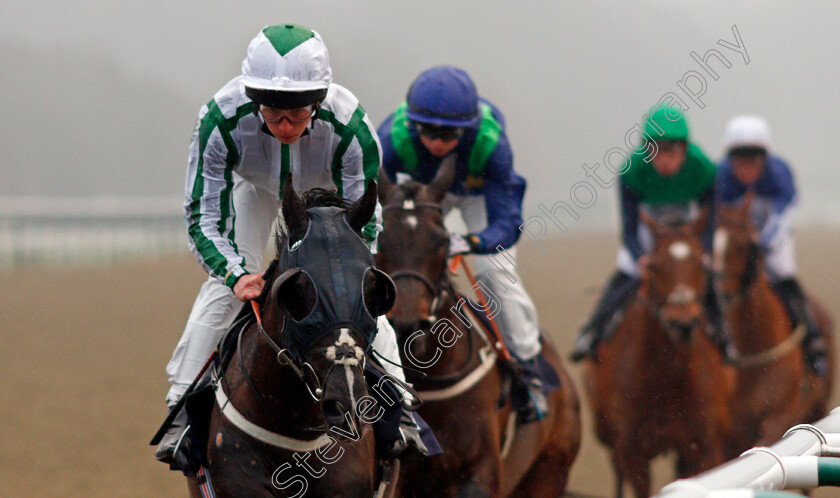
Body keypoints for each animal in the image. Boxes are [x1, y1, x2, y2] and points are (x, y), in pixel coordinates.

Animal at [584, 211, 736, 498]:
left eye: (701, 264)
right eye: (654, 266)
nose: (682, 322)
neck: (667, 381)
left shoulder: (704, 446)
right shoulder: (632, 452)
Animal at [712, 196, 832, 458]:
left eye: (741, 245)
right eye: (708, 247)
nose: (720, 294)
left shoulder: (779, 417)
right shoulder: (730, 434)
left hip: (818, 405)